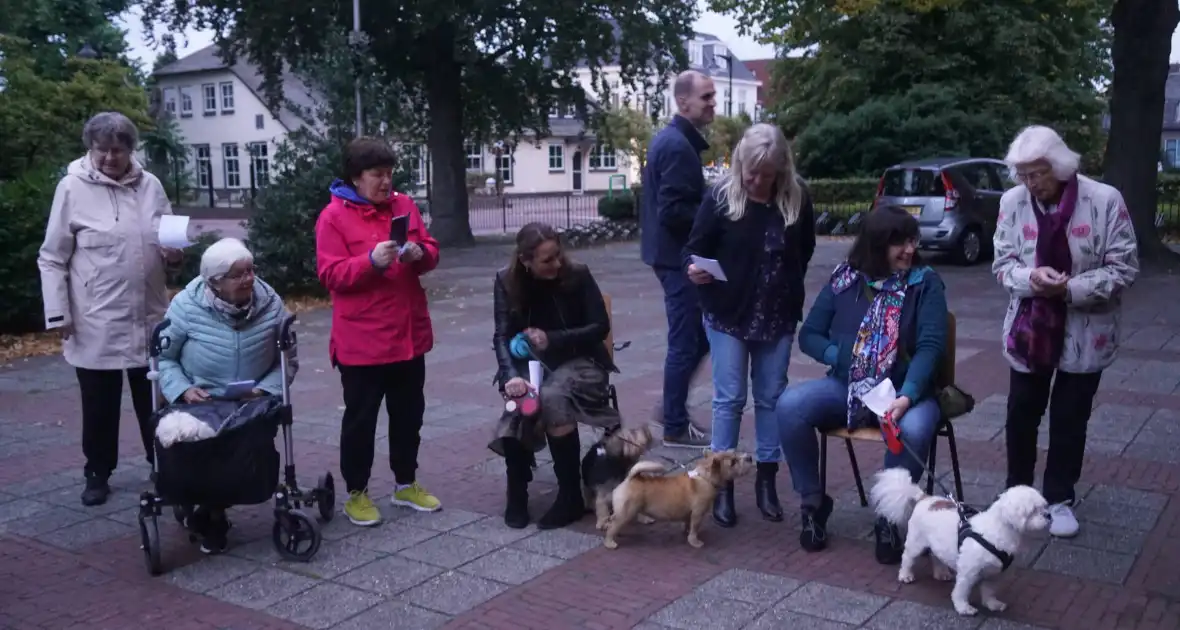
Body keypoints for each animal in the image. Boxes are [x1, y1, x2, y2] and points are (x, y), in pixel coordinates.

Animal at [604, 453, 750, 549]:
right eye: (733, 462)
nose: (749, 457)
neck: (705, 478)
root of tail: (630, 478)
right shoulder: (697, 514)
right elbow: (694, 528)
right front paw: (694, 541)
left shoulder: (689, 514)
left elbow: (687, 524)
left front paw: (686, 532)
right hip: (627, 512)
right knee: (612, 526)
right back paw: (610, 542)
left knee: (612, 520)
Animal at [868, 469, 1052, 618]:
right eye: (1034, 511)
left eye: (1044, 506)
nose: (1048, 515)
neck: (998, 531)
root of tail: (925, 498)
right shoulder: (968, 571)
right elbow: (961, 591)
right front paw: (964, 608)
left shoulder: (992, 573)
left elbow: (989, 591)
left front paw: (992, 604)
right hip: (916, 543)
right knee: (907, 558)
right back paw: (905, 575)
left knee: (936, 556)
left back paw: (941, 572)